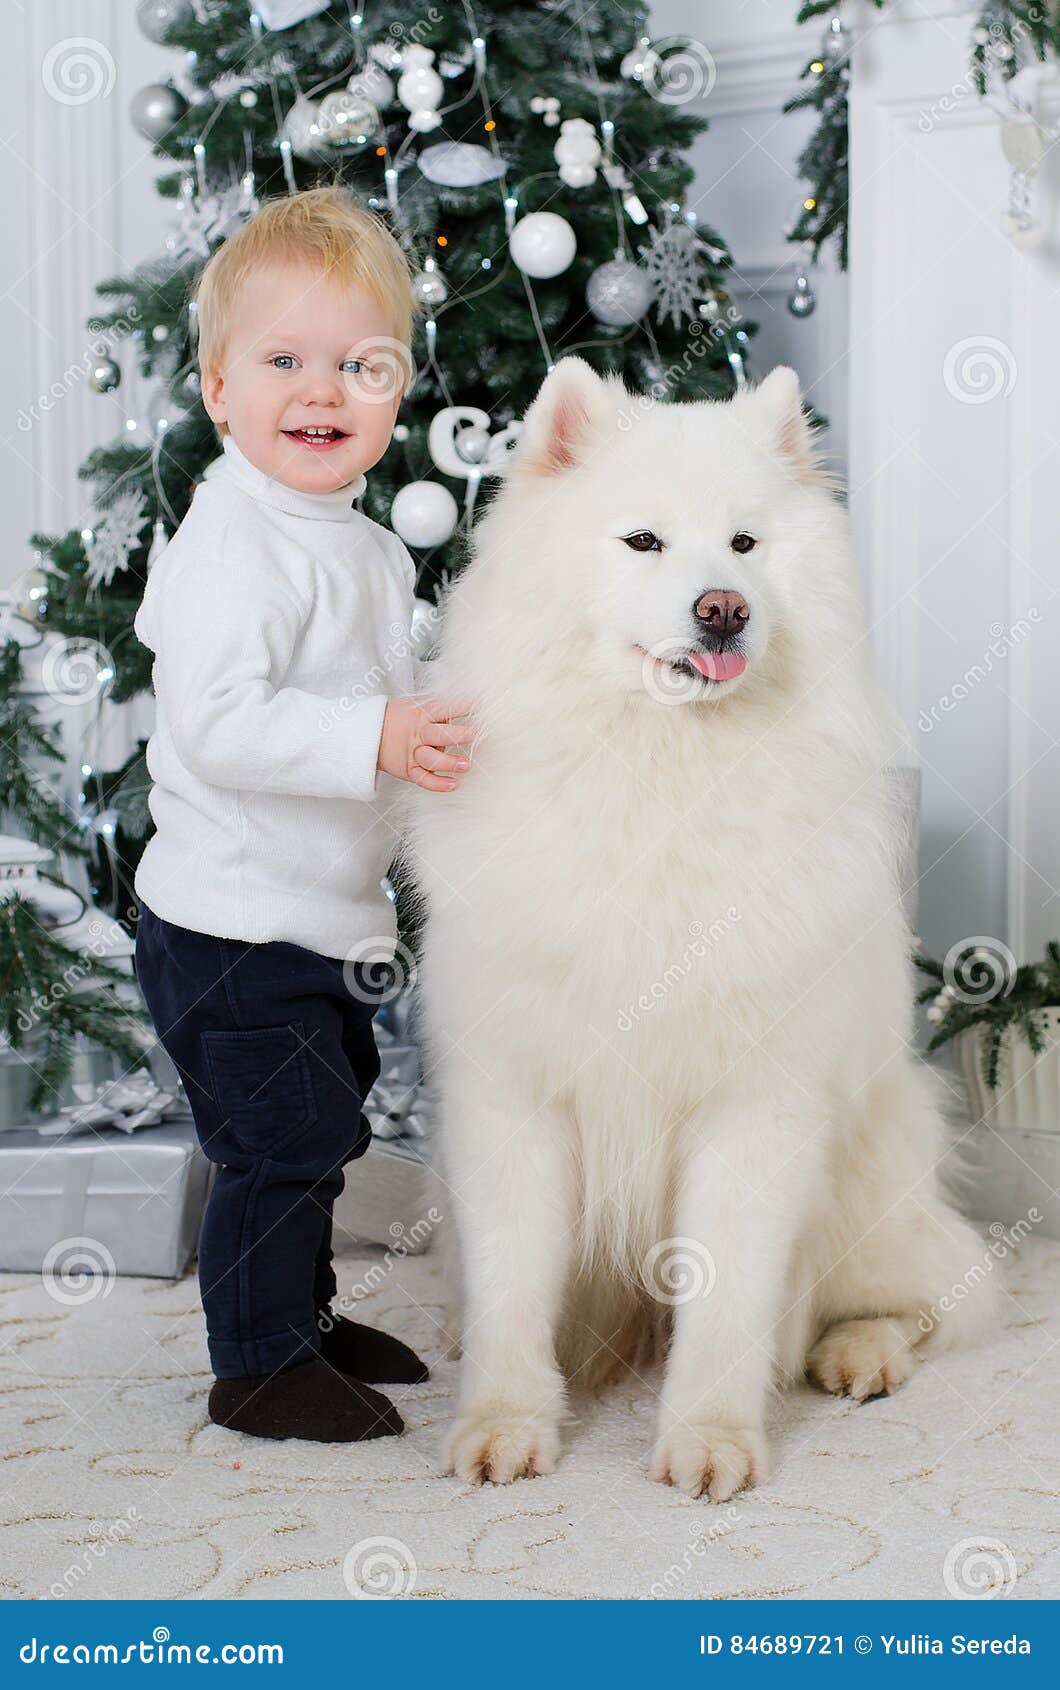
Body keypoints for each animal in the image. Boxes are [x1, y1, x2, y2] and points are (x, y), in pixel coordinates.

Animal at [402, 363, 1000, 1500]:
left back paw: (858, 1351)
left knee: (941, 1291)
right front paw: (505, 1423)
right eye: (643, 542)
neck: (662, 773)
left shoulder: (754, 1108)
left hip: (869, 1175)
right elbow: (513, 1288)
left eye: (745, 544)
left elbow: (726, 1301)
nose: (723, 609)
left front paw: (710, 1441)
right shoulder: (513, 1097)